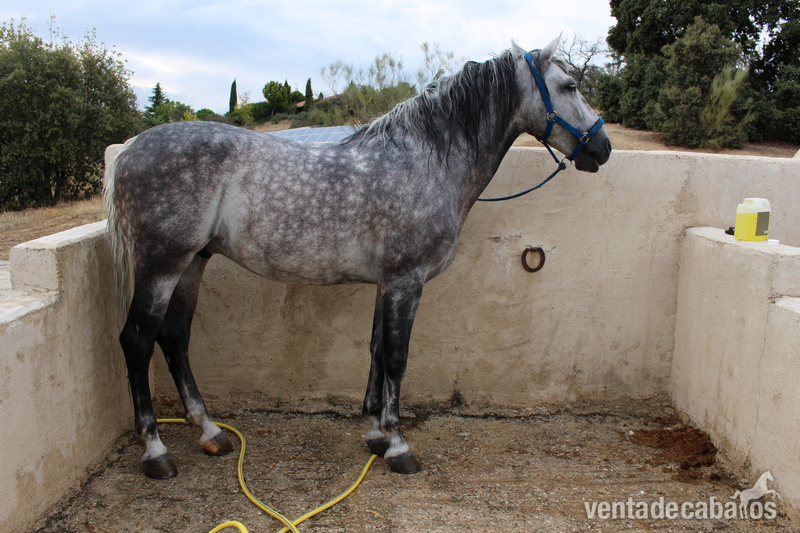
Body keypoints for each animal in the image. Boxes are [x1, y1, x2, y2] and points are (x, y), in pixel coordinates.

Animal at [104, 37, 612, 479]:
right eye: (570, 86)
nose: (602, 148)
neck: (426, 160)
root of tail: (127, 150)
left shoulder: (387, 283)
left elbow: (376, 351)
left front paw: (375, 435)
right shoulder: (406, 281)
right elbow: (397, 357)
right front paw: (399, 446)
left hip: (192, 262)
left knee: (174, 338)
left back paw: (210, 432)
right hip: (160, 267)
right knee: (137, 342)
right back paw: (156, 452)